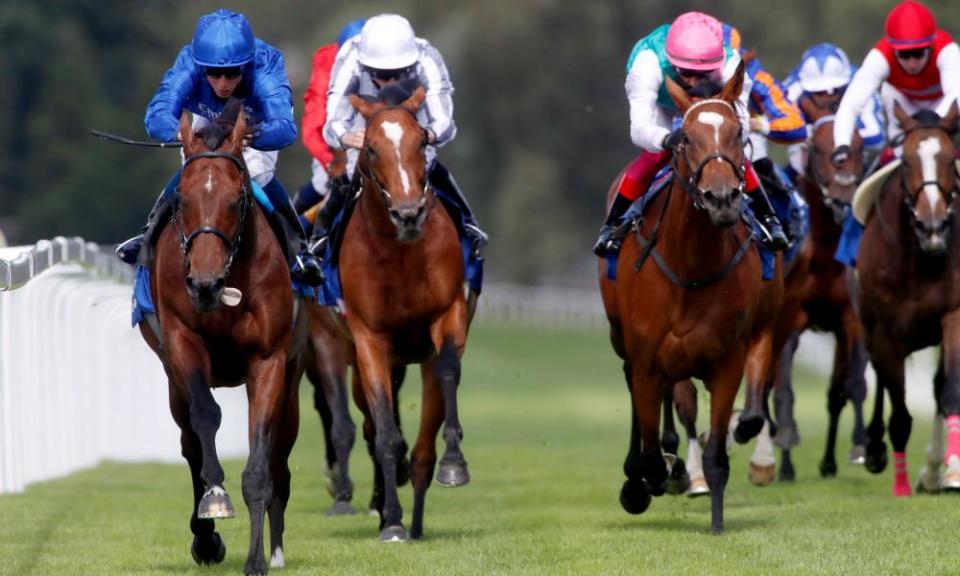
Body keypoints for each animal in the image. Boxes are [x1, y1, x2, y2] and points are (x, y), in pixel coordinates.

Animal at [137, 104, 304, 576]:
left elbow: (261, 463)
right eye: (183, 199)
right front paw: (213, 502)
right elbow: (206, 417)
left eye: (236, 199)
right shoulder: (182, 342)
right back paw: (205, 538)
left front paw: (258, 558)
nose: (206, 285)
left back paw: (276, 547)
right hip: (172, 380)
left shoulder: (269, 360)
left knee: (280, 454)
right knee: (191, 442)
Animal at [340, 84, 470, 540]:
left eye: (422, 140)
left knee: (423, 449)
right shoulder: (369, 339)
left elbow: (448, 369)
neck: (399, 254)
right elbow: (384, 431)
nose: (409, 213)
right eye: (371, 148)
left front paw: (455, 463)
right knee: (372, 425)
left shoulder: (448, 314)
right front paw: (391, 522)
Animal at [600, 65, 788, 532]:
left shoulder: (727, 361)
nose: (721, 199)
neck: (691, 270)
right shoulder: (648, 359)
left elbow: (718, 451)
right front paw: (648, 480)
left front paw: (717, 522)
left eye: (739, 132)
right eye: (685, 137)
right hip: (622, 338)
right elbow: (651, 449)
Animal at [856, 102, 960, 496]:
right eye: (908, 161)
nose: (933, 227)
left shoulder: (952, 314)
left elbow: (949, 390)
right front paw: (899, 485)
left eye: (949, 158)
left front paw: (951, 469)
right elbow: (899, 413)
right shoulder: (886, 335)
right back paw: (875, 449)